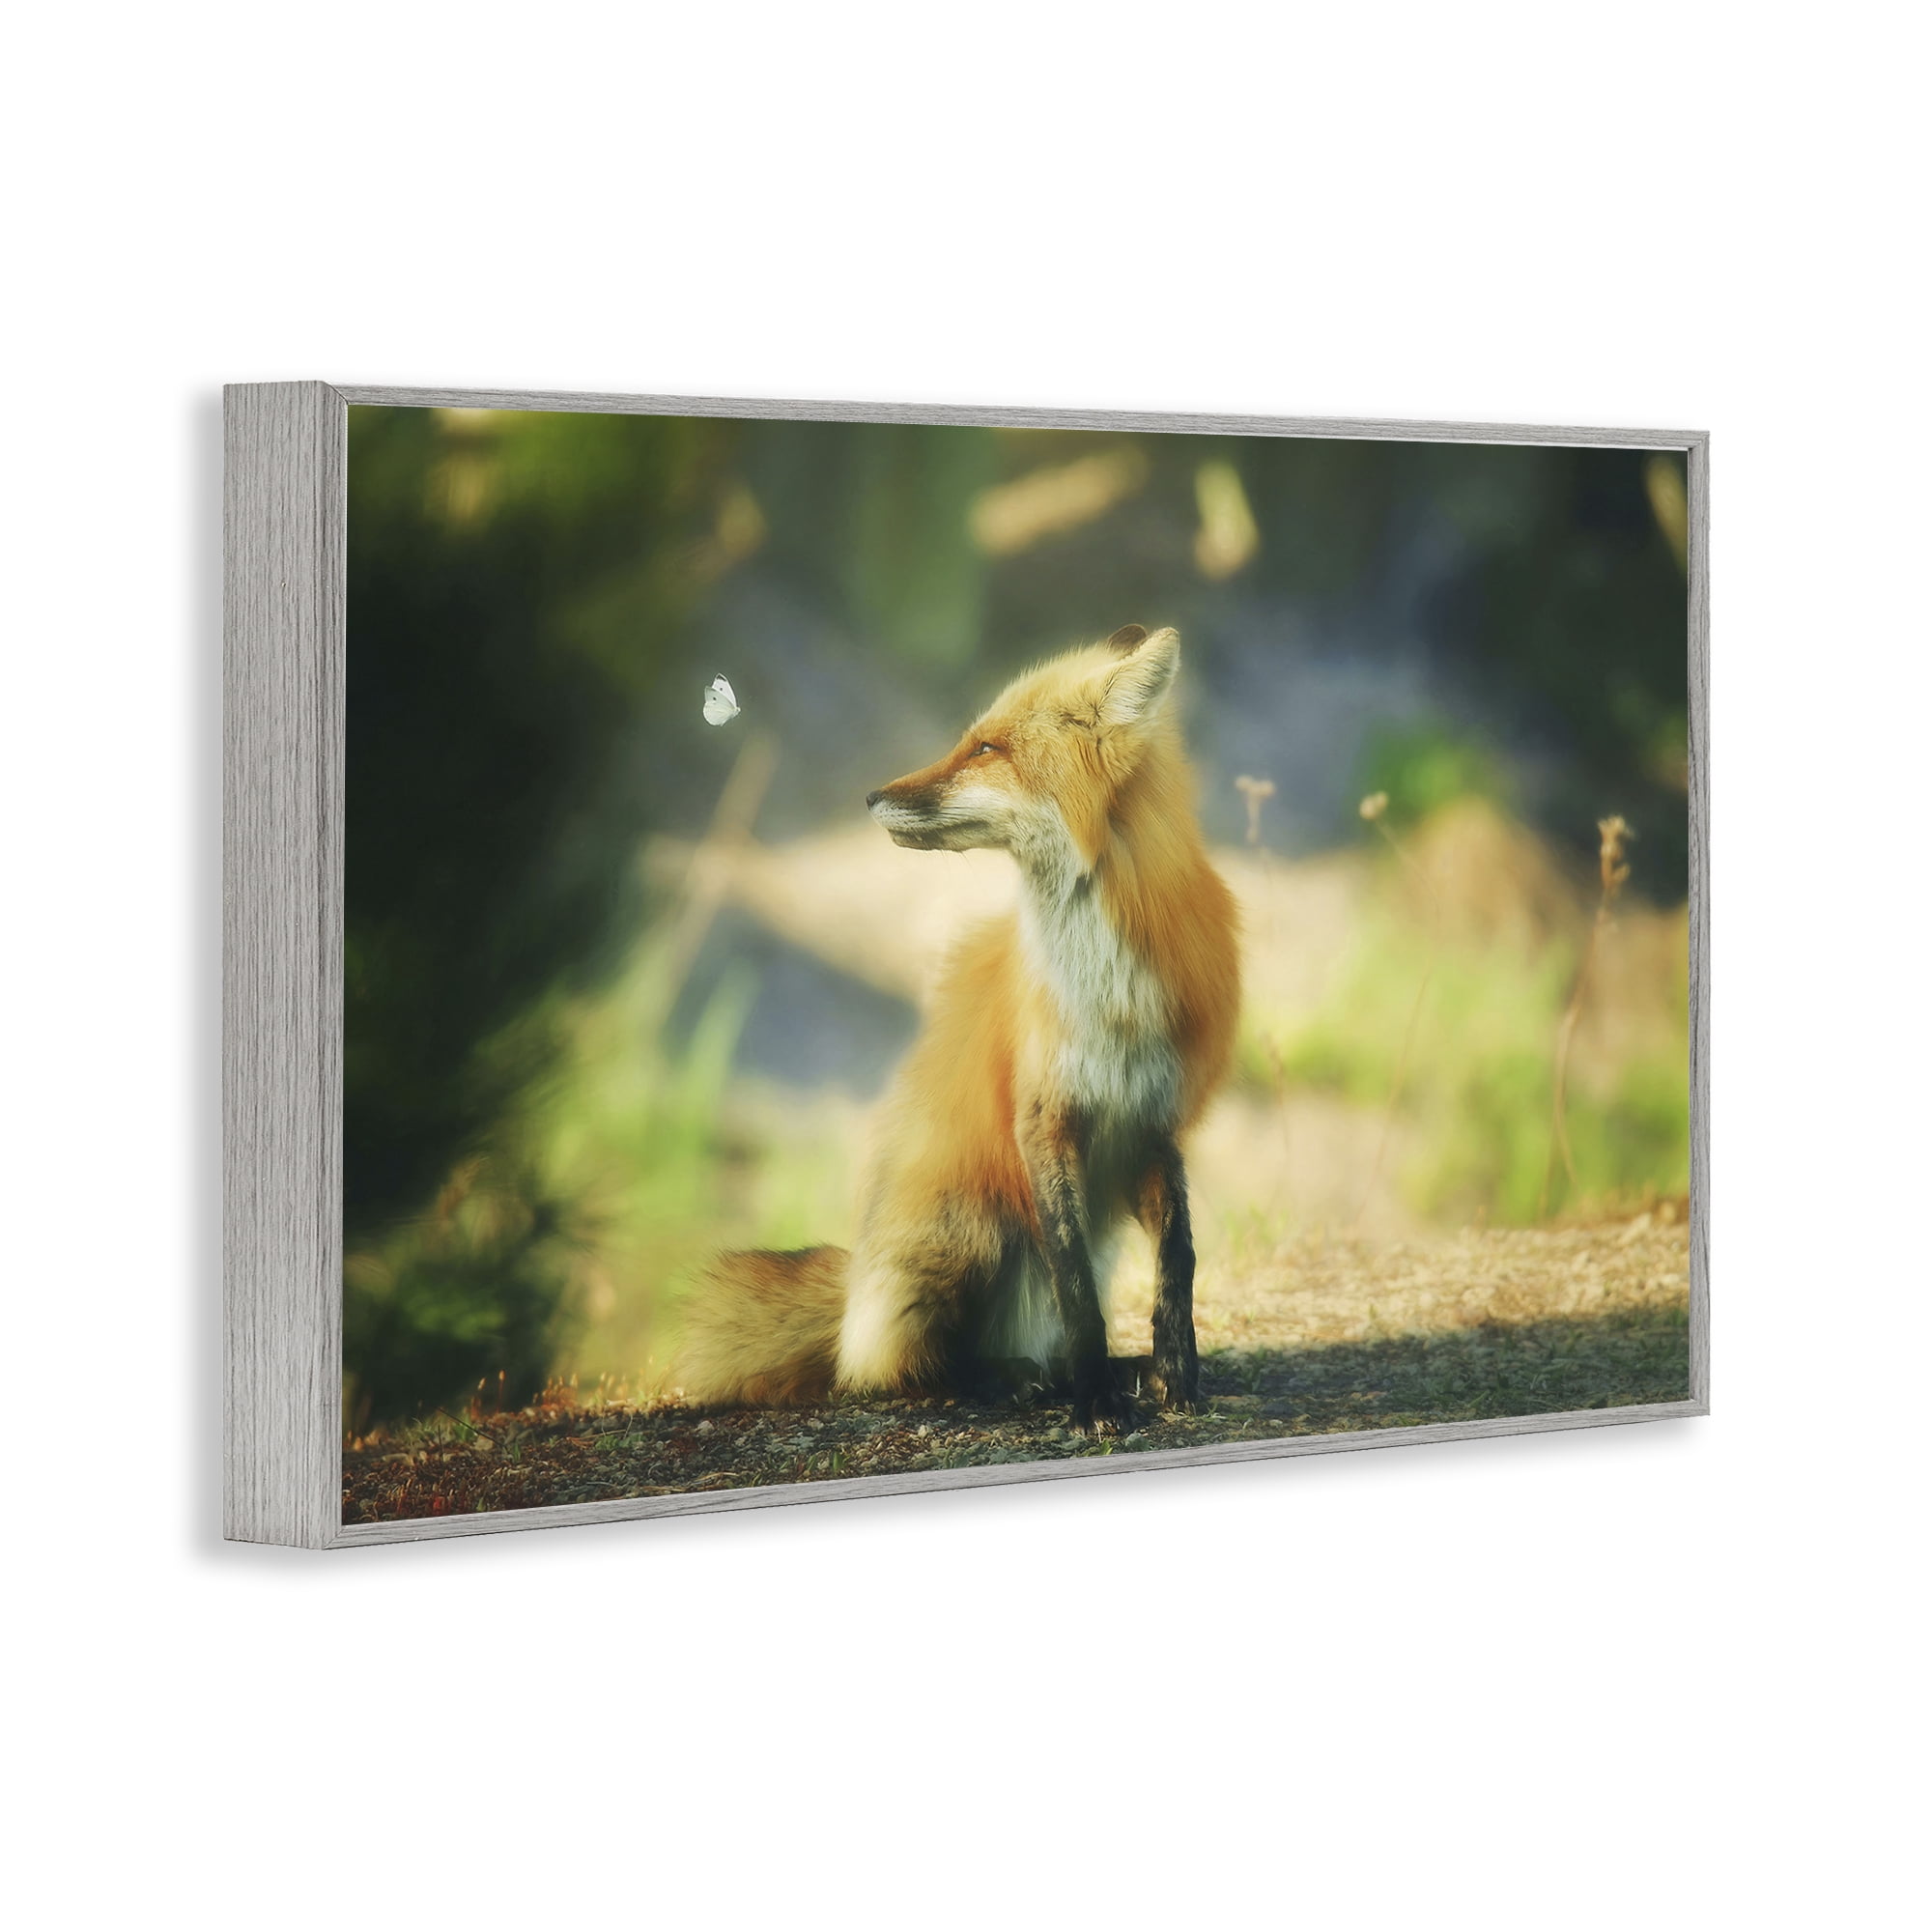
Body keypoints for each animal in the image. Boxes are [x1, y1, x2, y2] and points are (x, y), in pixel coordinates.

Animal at [676, 623, 1241, 1432]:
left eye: (986, 749)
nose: (871, 795)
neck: (1107, 990)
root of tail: (856, 1290)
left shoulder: (1151, 1122)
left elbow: (1180, 1260)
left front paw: (1176, 1374)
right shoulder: (1042, 1118)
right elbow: (1077, 1289)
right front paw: (1096, 1401)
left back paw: (1089, 1371)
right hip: (973, 1225)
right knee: (907, 1369)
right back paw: (1016, 1380)